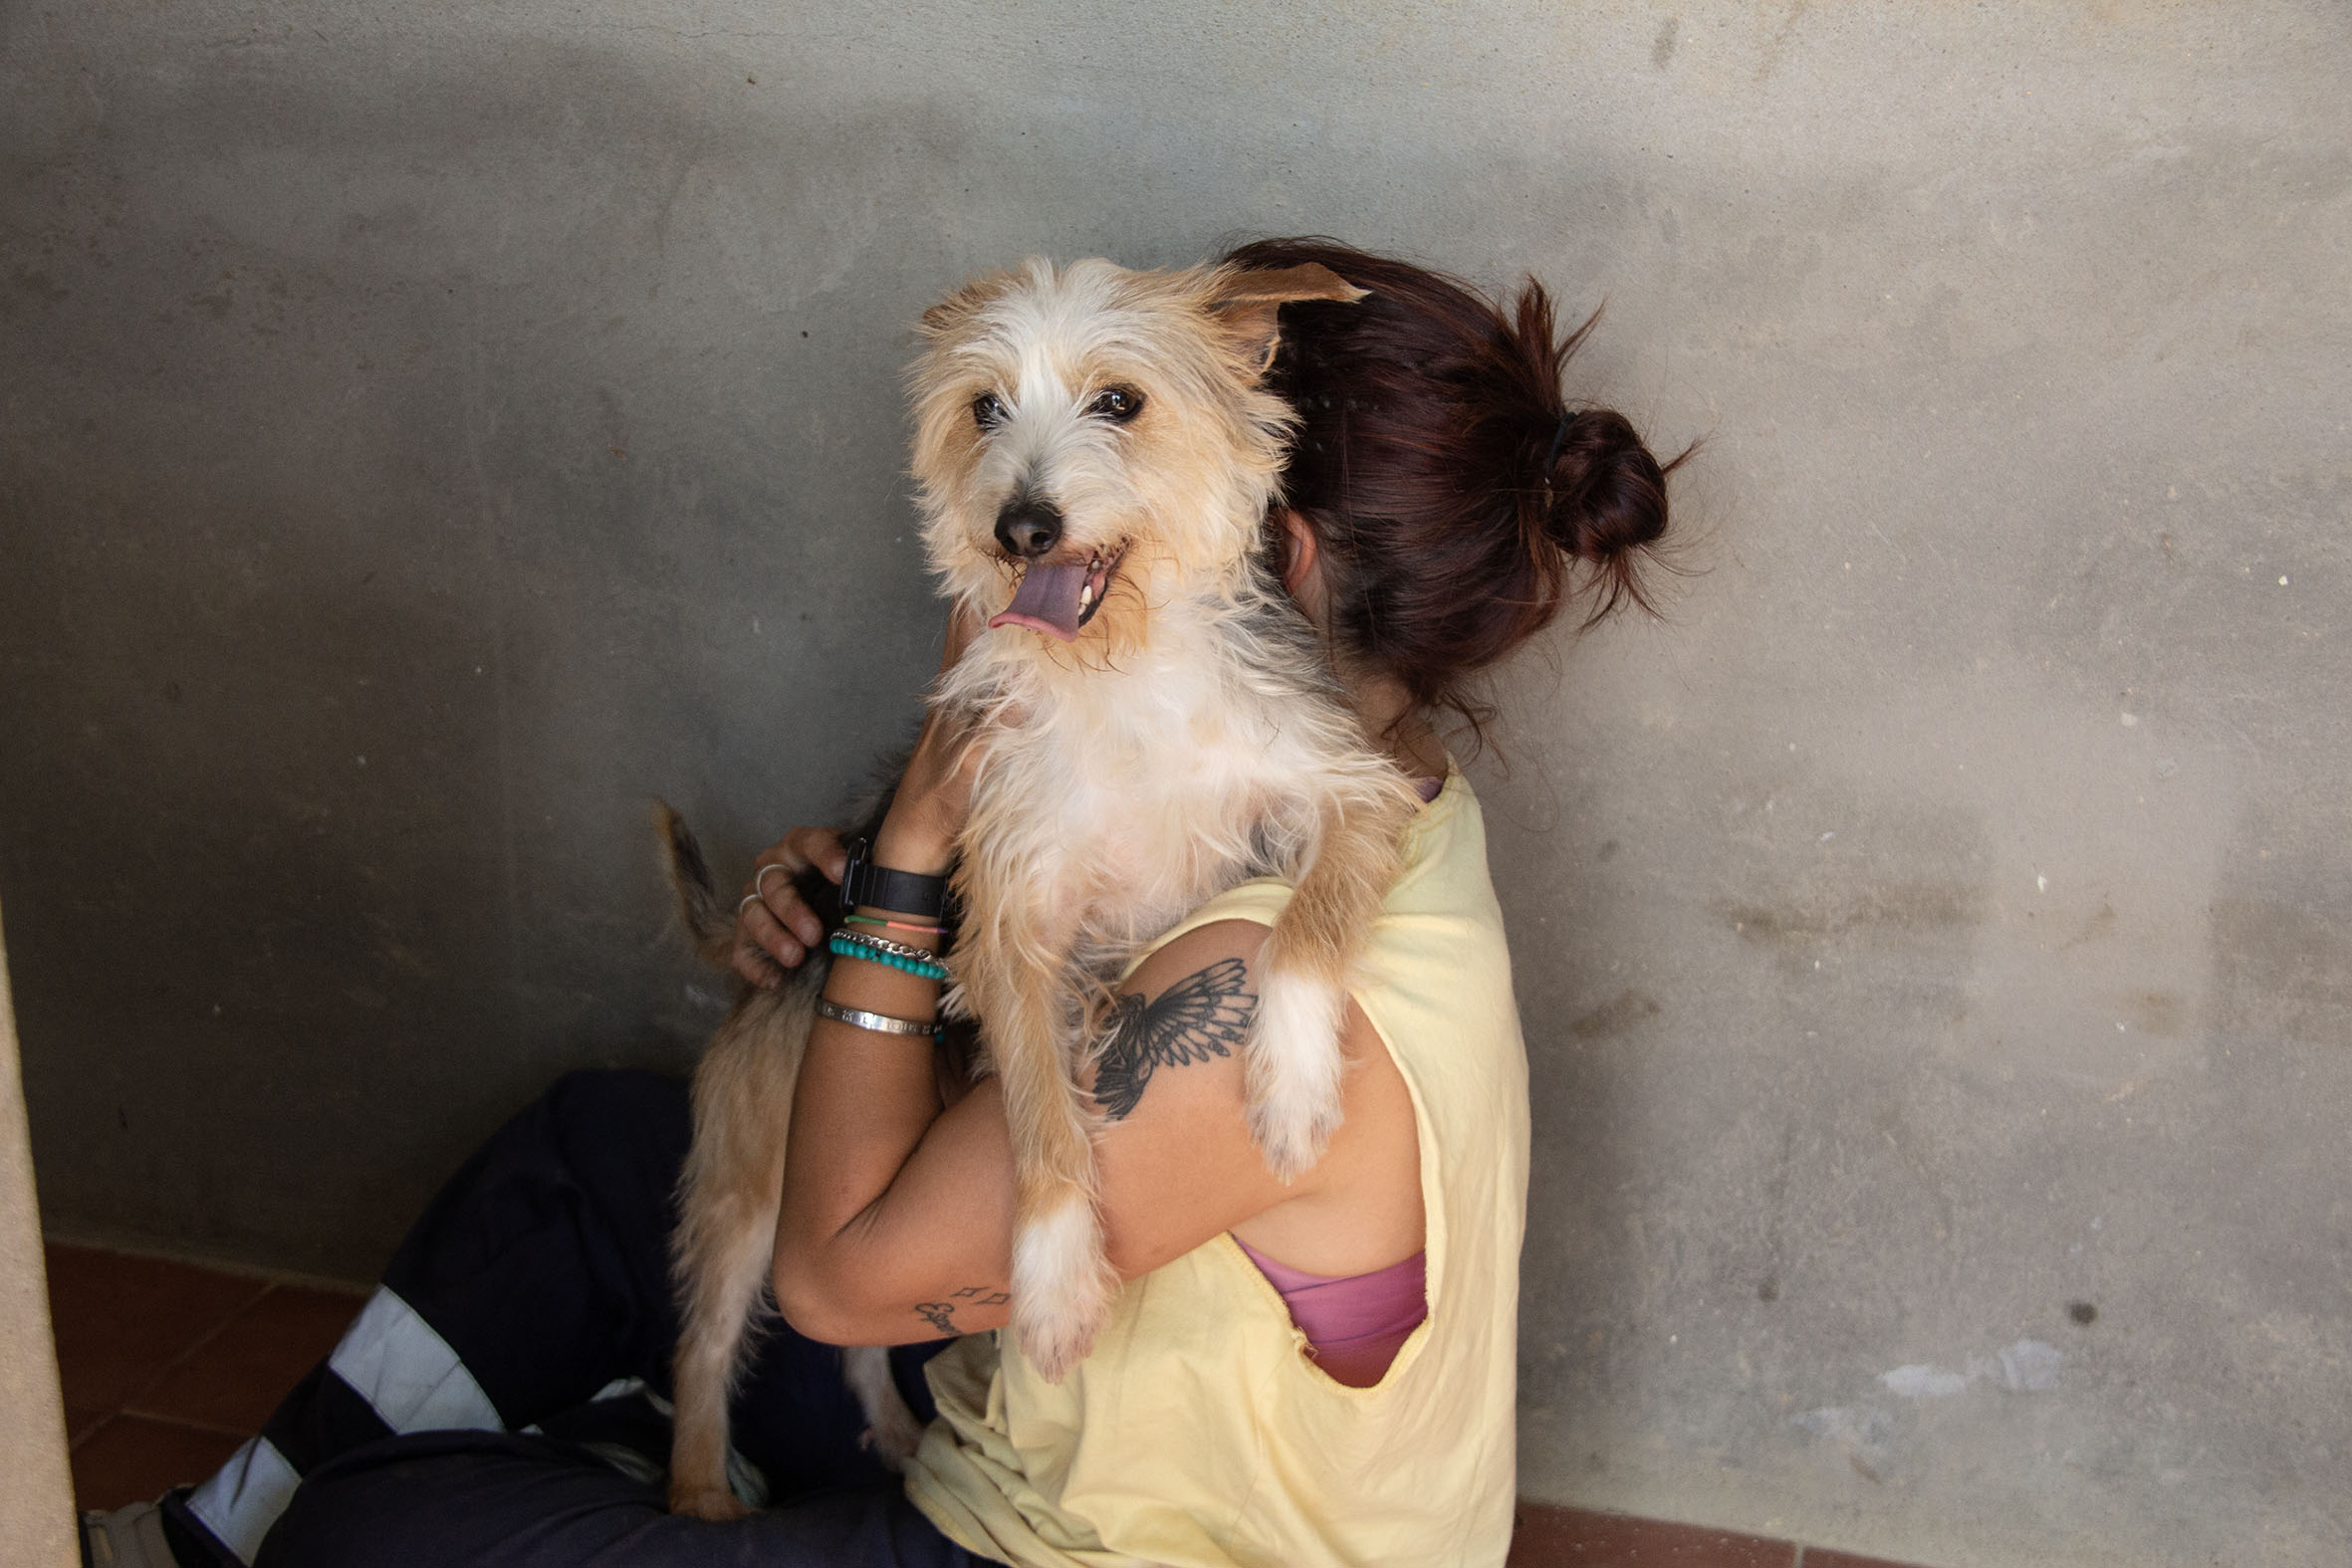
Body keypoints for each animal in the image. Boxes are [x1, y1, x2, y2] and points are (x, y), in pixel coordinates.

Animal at [661, 255, 1420, 1517]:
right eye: (983, 410)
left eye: (1120, 401)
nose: (1021, 527)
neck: (1120, 677)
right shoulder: (1012, 921)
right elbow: (1038, 1114)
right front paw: (1057, 1287)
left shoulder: (1352, 789)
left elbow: (1300, 938)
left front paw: (1292, 1090)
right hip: (750, 1181)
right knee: (709, 1342)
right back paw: (697, 1494)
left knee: (844, 1336)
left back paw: (886, 1430)